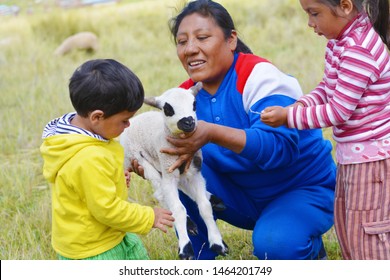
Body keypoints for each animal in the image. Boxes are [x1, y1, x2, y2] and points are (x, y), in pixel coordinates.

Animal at [119, 83, 229, 260]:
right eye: (167, 109)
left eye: (194, 104)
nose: (188, 122)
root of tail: (134, 120)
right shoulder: (169, 173)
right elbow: (178, 209)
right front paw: (186, 249)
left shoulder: (194, 172)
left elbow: (204, 206)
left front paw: (218, 243)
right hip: (140, 158)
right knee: (160, 192)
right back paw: (189, 223)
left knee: (181, 187)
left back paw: (213, 199)